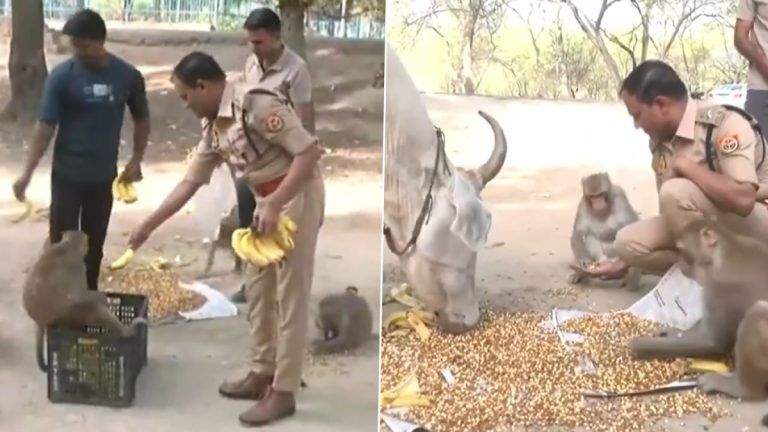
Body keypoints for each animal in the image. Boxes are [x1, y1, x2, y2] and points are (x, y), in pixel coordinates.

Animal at [22, 230, 146, 372]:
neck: (67, 245)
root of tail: (39, 320)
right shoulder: (79, 267)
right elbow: (80, 294)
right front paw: (102, 298)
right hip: (70, 313)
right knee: (94, 309)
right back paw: (126, 331)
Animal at [628, 216, 768, 362]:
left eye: (682, 251)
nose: (679, 262)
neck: (724, 252)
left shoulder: (718, 286)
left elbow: (710, 342)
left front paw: (637, 345)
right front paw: (668, 332)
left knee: (757, 314)